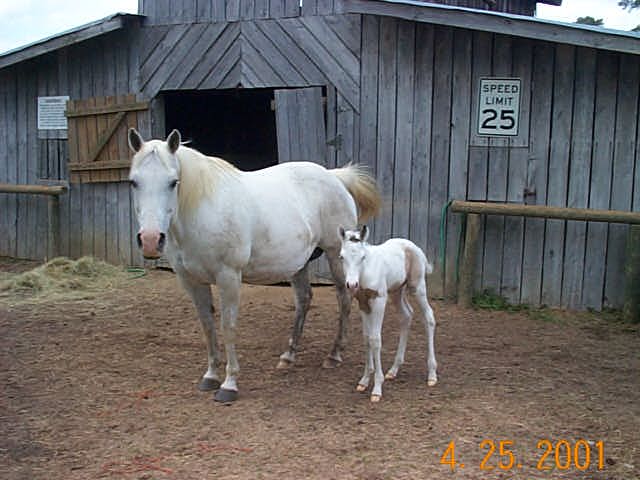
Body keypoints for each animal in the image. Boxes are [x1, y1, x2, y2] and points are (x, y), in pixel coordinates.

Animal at [128, 129, 382, 404]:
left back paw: (334, 355)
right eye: (133, 182)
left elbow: (228, 327)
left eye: (173, 182)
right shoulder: (191, 281)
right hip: (298, 264)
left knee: (343, 300)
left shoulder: (228, 277)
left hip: (336, 256)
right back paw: (289, 355)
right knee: (304, 300)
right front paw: (210, 375)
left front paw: (229, 385)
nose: (150, 239)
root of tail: (334, 177)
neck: (201, 211)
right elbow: (207, 325)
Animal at [338, 225, 438, 402]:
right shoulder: (363, 303)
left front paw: (377, 388)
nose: (351, 284)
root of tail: (414, 246)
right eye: (342, 257)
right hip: (397, 291)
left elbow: (375, 339)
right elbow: (366, 338)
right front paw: (364, 380)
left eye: (363, 257)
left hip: (417, 286)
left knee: (429, 318)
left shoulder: (379, 300)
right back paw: (393, 370)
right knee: (406, 316)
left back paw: (432, 375)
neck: (365, 272)